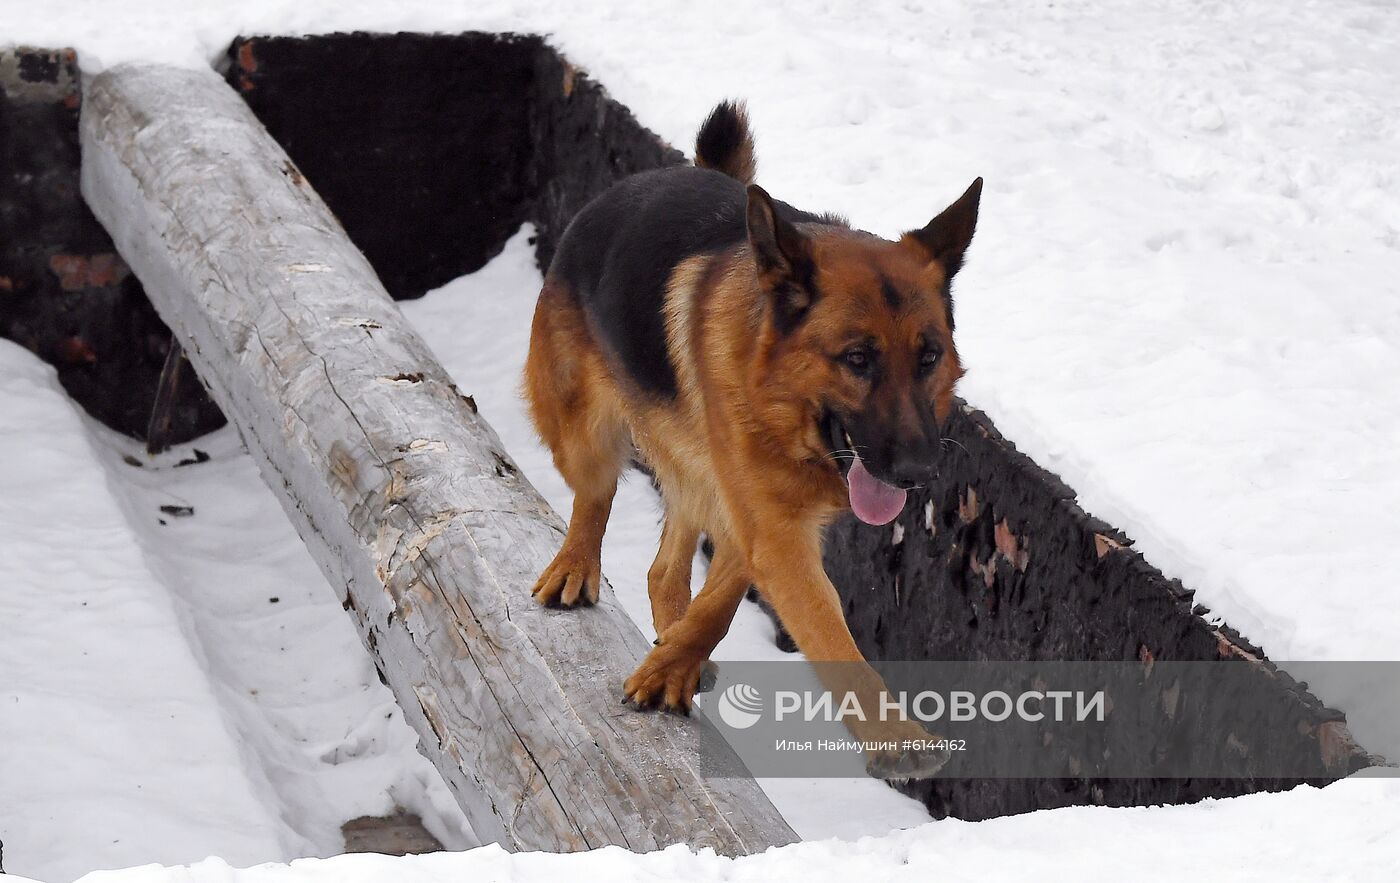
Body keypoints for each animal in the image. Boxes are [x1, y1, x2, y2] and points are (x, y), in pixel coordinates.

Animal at [520, 103, 980, 778]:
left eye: (929, 358)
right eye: (858, 359)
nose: (919, 472)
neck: (780, 404)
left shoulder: (762, 515)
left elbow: (723, 596)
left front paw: (674, 663)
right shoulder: (771, 523)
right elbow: (825, 625)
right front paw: (893, 735)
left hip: (698, 469)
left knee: (665, 568)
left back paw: (674, 634)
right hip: (583, 431)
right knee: (595, 493)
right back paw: (575, 564)